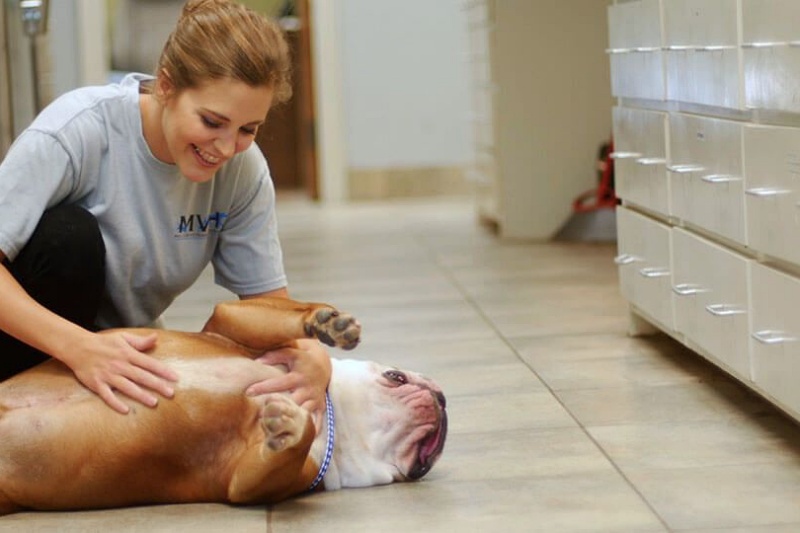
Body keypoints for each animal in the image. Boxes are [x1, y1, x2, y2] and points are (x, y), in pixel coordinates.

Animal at [0, 298, 446, 512]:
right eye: (395, 376)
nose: (441, 400)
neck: (338, 419)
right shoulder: (230, 324)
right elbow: (280, 314)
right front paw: (325, 321)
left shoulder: (248, 479)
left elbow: (285, 448)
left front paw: (290, 423)